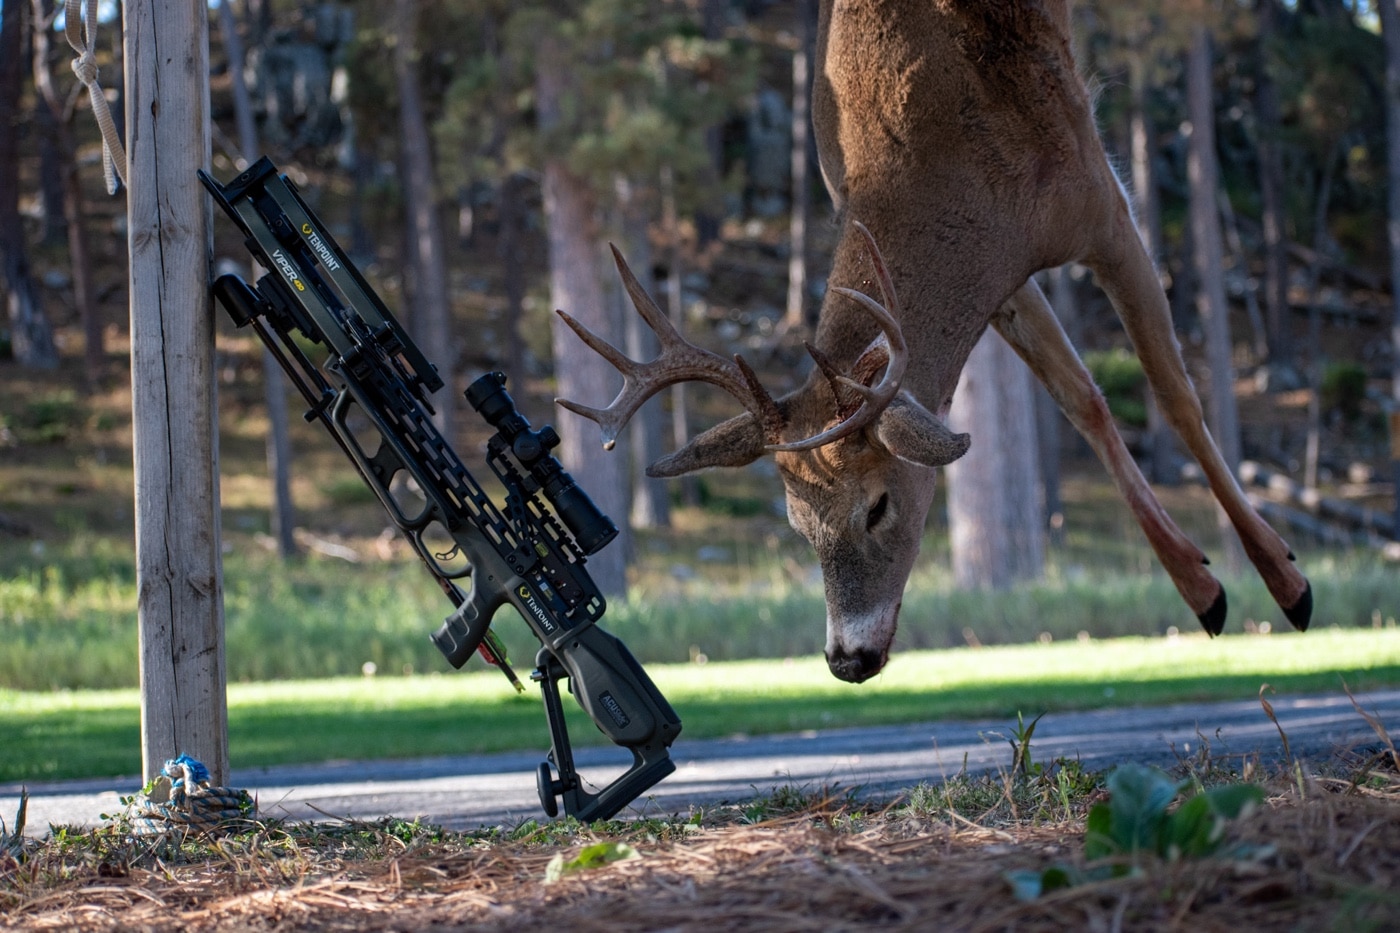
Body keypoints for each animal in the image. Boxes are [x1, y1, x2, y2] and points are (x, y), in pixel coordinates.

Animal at [551, 0, 1304, 683]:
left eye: (879, 506)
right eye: (798, 524)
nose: (847, 660)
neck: (944, 181)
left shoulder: (1098, 198)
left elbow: (1176, 395)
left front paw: (1286, 581)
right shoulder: (1005, 283)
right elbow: (1083, 402)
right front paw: (1203, 589)